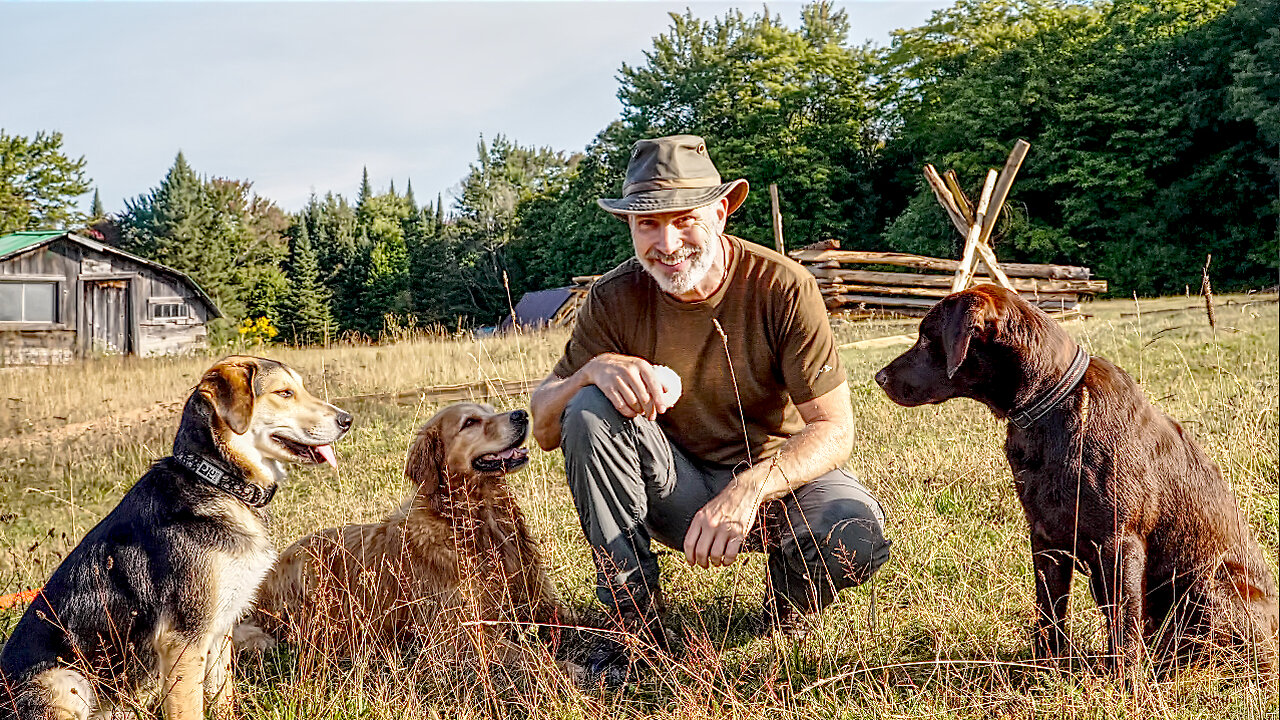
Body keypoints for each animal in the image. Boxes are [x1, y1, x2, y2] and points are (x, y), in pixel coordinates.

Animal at [0, 353, 350, 717]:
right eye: (284, 393)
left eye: (301, 388)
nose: (347, 420)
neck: (218, 480)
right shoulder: (183, 640)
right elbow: (191, 708)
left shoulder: (219, 632)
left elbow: (222, 696)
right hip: (65, 682)